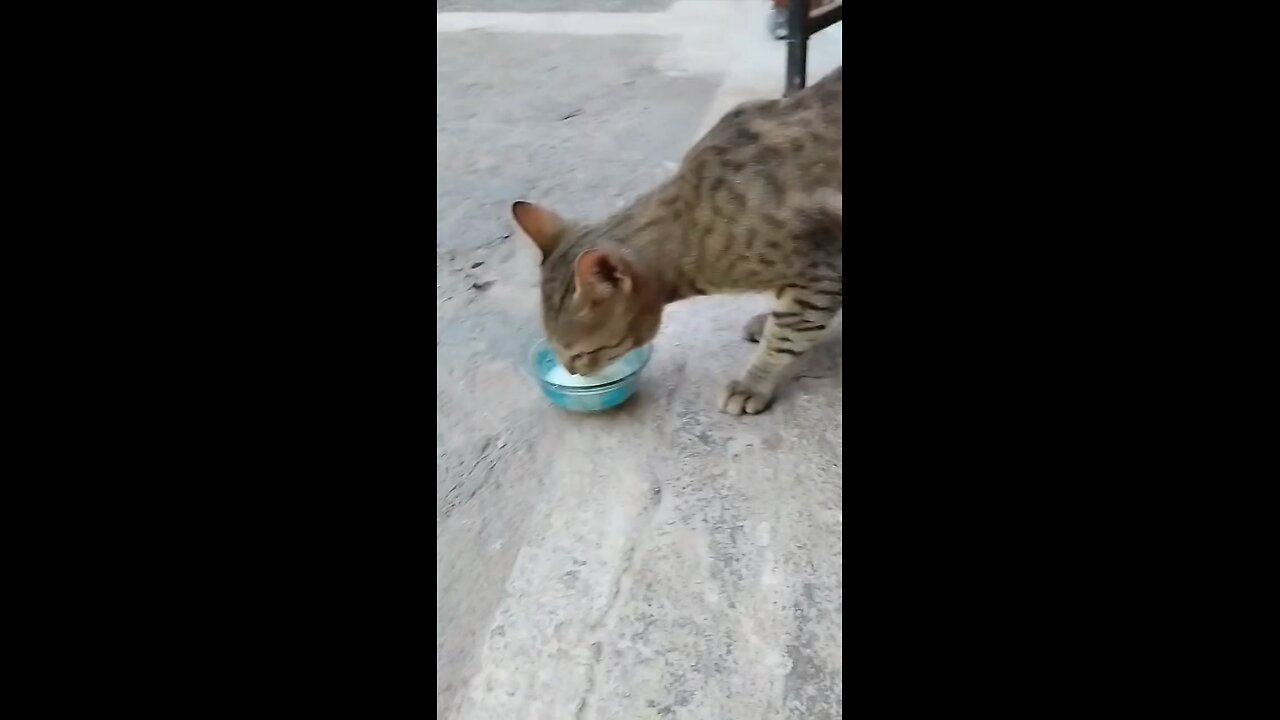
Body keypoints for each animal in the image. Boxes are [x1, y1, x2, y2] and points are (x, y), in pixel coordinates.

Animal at [509, 70, 839, 415]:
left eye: (581, 354)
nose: (573, 372)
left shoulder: (820, 272)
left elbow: (785, 338)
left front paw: (752, 383)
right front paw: (767, 320)